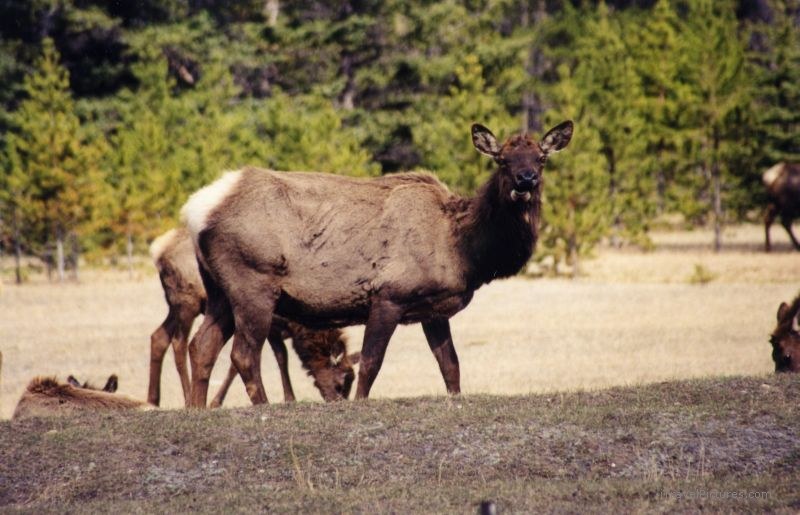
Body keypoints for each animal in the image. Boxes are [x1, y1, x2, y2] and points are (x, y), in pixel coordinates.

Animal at [148, 228, 359, 407]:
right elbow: (277, 357)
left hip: (175, 305)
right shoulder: (271, 324)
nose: (338, 401)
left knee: (159, 336)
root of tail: (158, 252)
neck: (297, 326)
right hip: (186, 301)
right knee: (179, 344)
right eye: (343, 380)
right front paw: (289, 398)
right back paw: (186, 397)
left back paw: (153, 400)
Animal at [180, 121, 573, 407]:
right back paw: (262, 407)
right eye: (502, 160)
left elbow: (451, 365)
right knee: (243, 354)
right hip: (254, 284)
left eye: (541, 158)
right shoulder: (389, 294)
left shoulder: (433, 310)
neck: (463, 250)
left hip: (219, 291)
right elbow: (371, 363)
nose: (525, 180)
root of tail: (196, 210)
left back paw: (197, 410)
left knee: (201, 346)